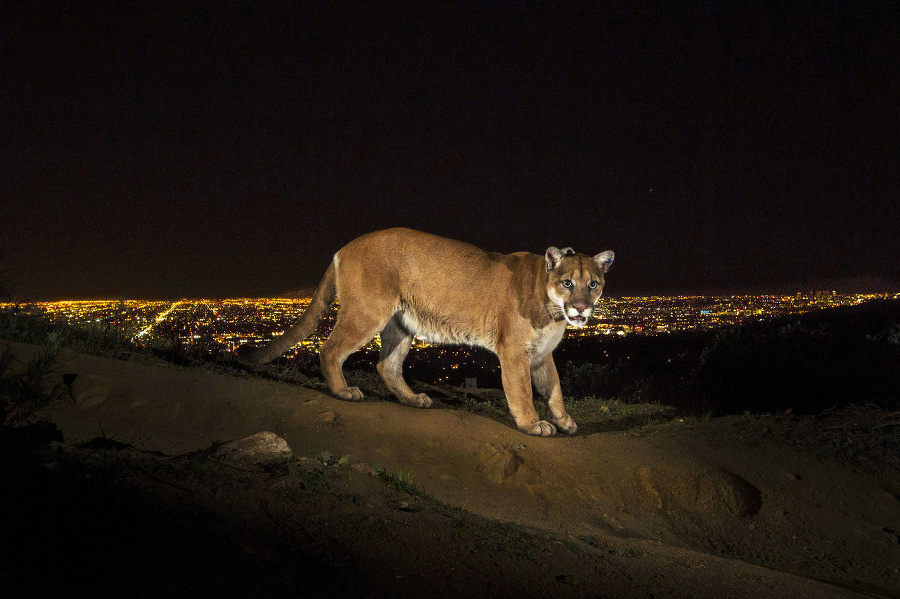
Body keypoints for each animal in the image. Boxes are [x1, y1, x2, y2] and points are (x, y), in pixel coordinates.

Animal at [244, 227, 612, 438]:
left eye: (593, 284)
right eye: (568, 283)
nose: (581, 308)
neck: (553, 309)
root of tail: (344, 247)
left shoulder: (541, 353)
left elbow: (554, 388)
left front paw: (564, 420)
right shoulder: (514, 351)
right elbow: (522, 391)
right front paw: (532, 425)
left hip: (402, 324)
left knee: (386, 365)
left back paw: (413, 399)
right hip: (368, 312)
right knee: (330, 349)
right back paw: (344, 391)